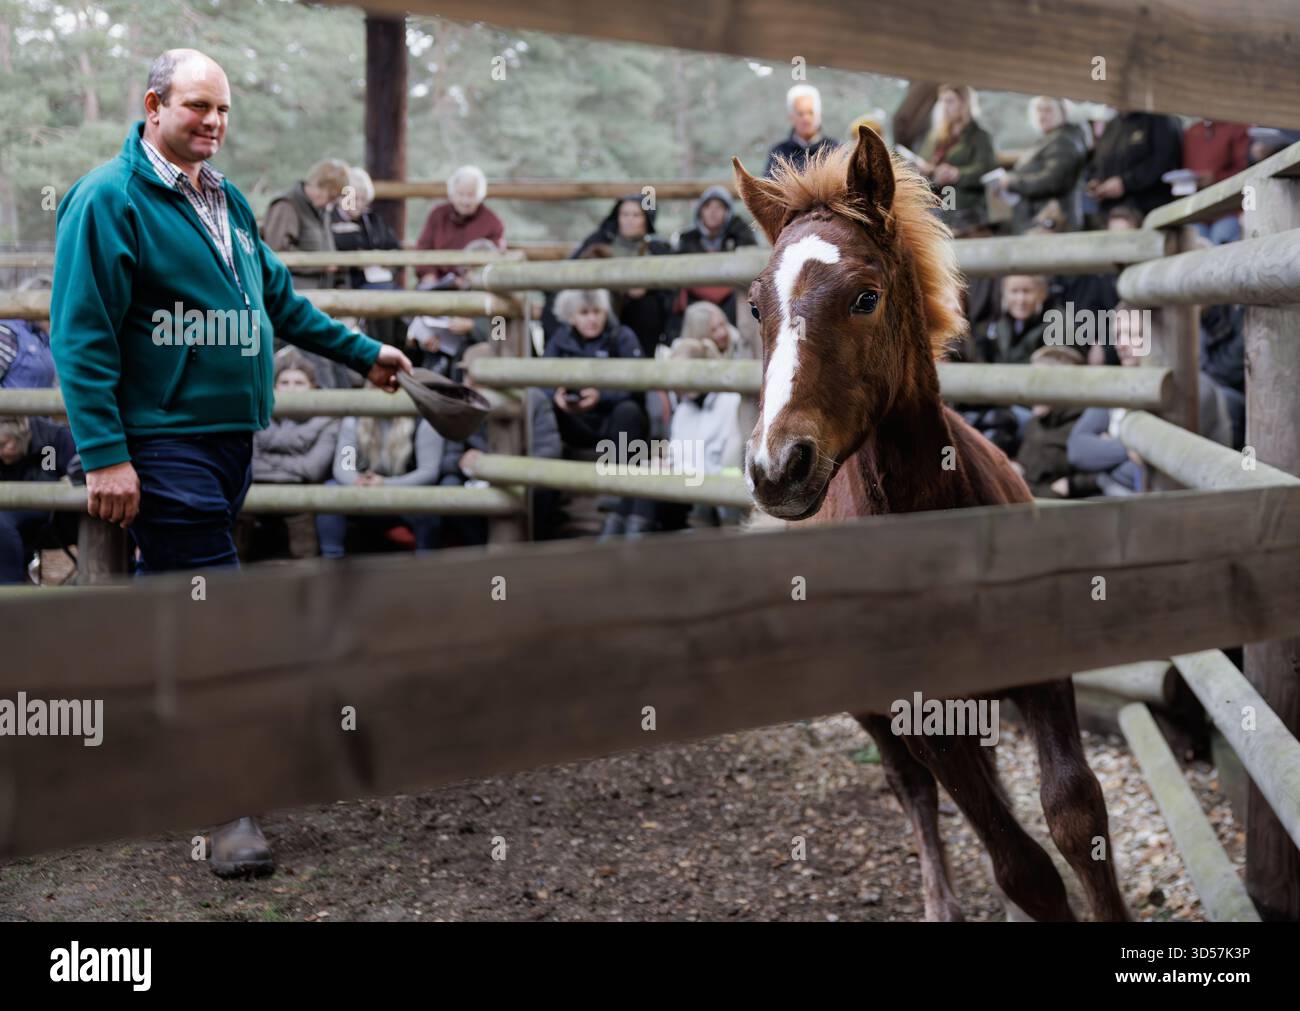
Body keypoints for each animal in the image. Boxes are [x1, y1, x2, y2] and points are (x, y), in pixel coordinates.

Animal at [731, 125, 1130, 922]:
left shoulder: (1044, 668)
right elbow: (1021, 865)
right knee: (912, 790)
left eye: (866, 296)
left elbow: (1076, 815)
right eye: (757, 306)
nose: (778, 466)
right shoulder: (919, 715)